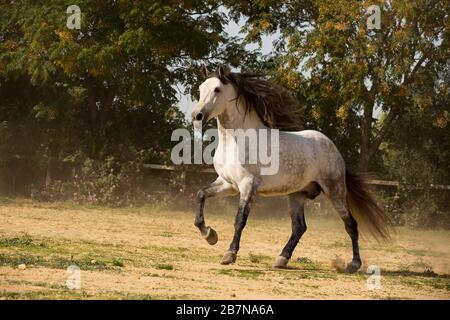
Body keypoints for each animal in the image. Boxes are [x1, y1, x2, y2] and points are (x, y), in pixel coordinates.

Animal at [191, 64, 390, 272]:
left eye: (217, 89)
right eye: (201, 88)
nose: (197, 116)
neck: (235, 142)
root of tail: (333, 149)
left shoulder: (248, 186)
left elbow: (240, 220)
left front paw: (229, 254)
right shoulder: (228, 184)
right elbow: (200, 195)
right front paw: (210, 235)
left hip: (334, 190)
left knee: (350, 224)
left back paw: (353, 264)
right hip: (297, 194)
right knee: (299, 227)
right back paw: (281, 259)